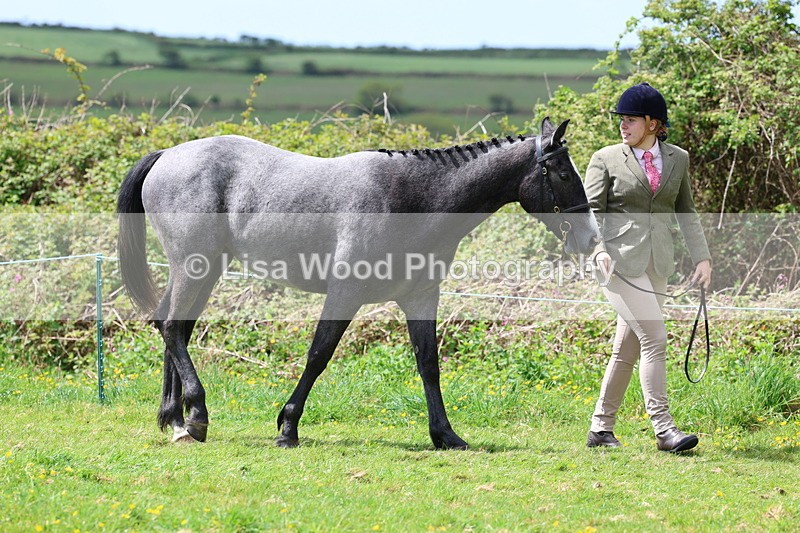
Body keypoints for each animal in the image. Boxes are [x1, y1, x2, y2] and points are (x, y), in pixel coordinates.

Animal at [117, 117, 599, 449]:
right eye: (563, 173)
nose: (592, 236)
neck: (412, 197)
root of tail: (167, 155)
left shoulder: (420, 297)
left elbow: (428, 363)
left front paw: (446, 436)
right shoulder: (344, 294)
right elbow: (318, 355)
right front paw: (287, 427)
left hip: (205, 270)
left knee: (173, 327)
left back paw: (175, 420)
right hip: (194, 267)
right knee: (172, 327)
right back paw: (195, 415)